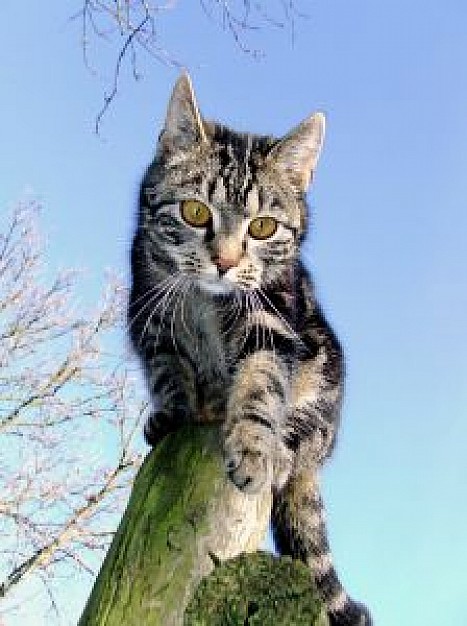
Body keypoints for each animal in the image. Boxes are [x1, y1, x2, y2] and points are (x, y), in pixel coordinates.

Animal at [128, 74, 372, 624]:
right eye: (194, 211)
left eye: (263, 226)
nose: (224, 261)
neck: (204, 303)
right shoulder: (149, 316)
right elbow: (168, 372)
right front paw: (173, 412)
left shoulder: (271, 321)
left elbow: (261, 386)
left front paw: (255, 448)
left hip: (323, 382)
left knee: (302, 442)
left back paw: (279, 453)